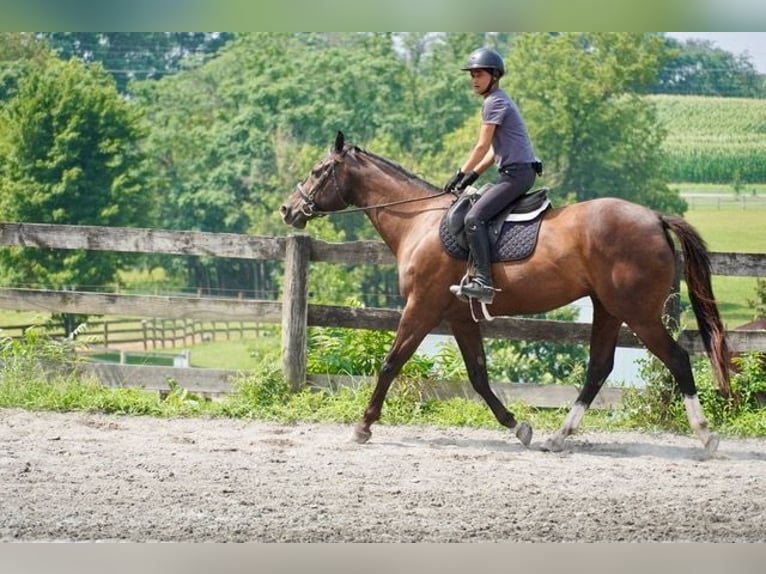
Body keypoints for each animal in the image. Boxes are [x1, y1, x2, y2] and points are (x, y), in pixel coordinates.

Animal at [280, 131, 731, 456]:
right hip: (607, 308)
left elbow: (391, 363)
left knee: (677, 358)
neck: (419, 221)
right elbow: (478, 375)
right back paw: (558, 437)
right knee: (599, 368)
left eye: (319, 170)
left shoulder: (421, 308)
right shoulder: (458, 317)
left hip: (637, 312)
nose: (288, 210)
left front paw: (363, 425)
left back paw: (705, 435)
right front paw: (519, 427)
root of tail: (654, 218)